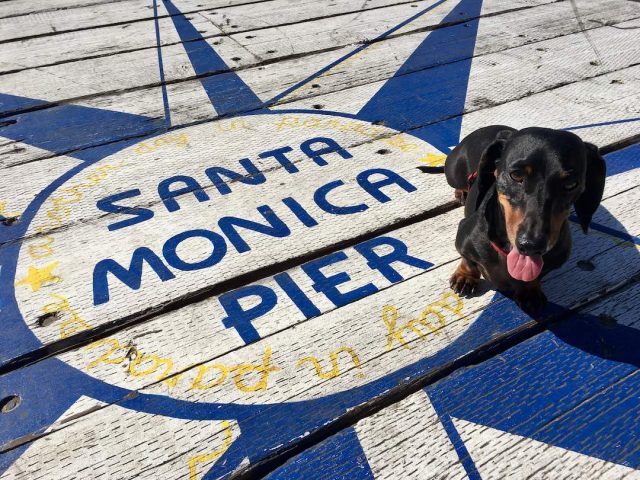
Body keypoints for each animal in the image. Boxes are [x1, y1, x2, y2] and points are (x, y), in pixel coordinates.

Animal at [444, 124, 604, 312]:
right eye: (516, 175)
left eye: (571, 184)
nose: (531, 246)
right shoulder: (463, 239)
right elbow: (468, 259)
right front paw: (465, 277)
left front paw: (530, 292)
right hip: (452, 173)